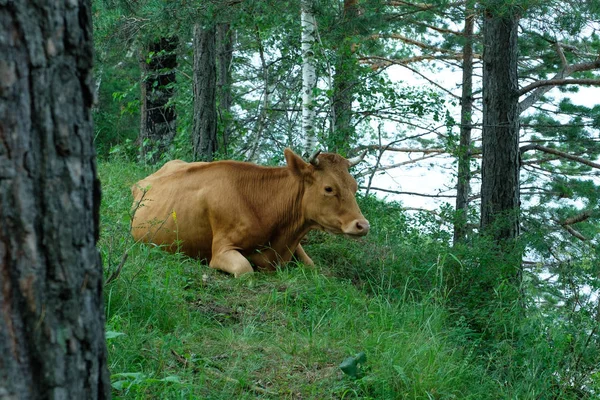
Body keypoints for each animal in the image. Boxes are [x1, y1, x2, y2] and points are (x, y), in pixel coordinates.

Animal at [129, 148, 368, 276]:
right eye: (329, 188)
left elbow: (313, 266)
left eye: (355, 186)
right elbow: (246, 270)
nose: (363, 225)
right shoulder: (221, 250)